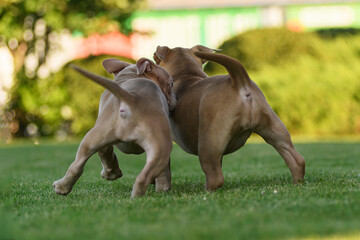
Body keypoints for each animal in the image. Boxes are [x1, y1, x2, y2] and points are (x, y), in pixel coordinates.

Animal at [52, 58, 176, 197]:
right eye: (171, 84)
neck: (131, 75)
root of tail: (133, 99)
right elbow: (165, 171)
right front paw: (163, 187)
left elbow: (106, 155)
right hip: (160, 147)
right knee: (145, 175)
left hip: (93, 138)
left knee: (78, 164)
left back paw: (62, 187)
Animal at [153, 45, 306, 191]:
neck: (186, 75)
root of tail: (238, 82)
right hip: (275, 130)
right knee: (296, 160)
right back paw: (297, 183)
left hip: (209, 142)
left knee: (215, 176)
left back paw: (207, 191)